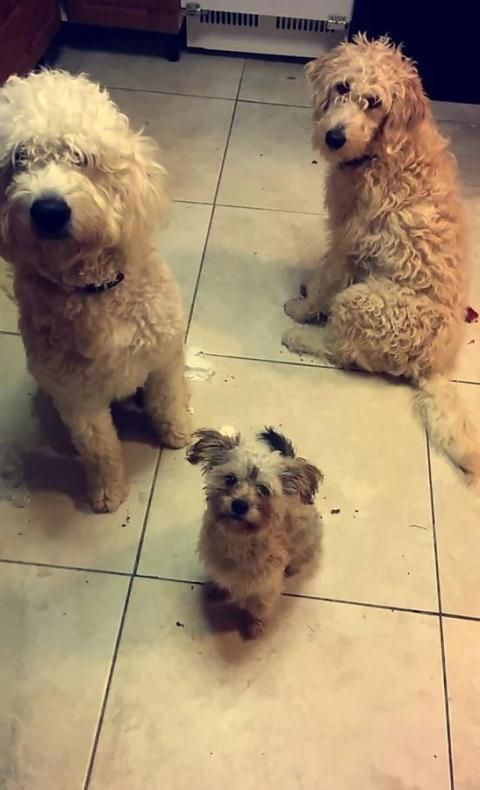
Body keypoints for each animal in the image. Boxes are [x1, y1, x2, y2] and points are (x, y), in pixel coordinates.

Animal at [0, 70, 191, 512]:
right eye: (17, 160)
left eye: (80, 158)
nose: (49, 210)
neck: (93, 291)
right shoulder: (78, 400)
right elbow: (99, 448)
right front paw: (107, 492)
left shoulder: (163, 359)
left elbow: (168, 400)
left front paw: (176, 433)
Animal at [187, 426, 322, 638]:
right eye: (230, 479)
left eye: (263, 490)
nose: (239, 505)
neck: (238, 540)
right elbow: (221, 580)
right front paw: (217, 590)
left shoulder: (266, 585)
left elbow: (259, 607)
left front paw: (254, 625)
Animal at [282, 34, 479, 482]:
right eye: (342, 87)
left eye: (374, 102)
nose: (334, 137)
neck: (384, 151)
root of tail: (431, 366)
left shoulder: (347, 239)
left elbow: (326, 281)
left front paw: (302, 309)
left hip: (362, 303)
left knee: (343, 353)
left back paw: (302, 337)